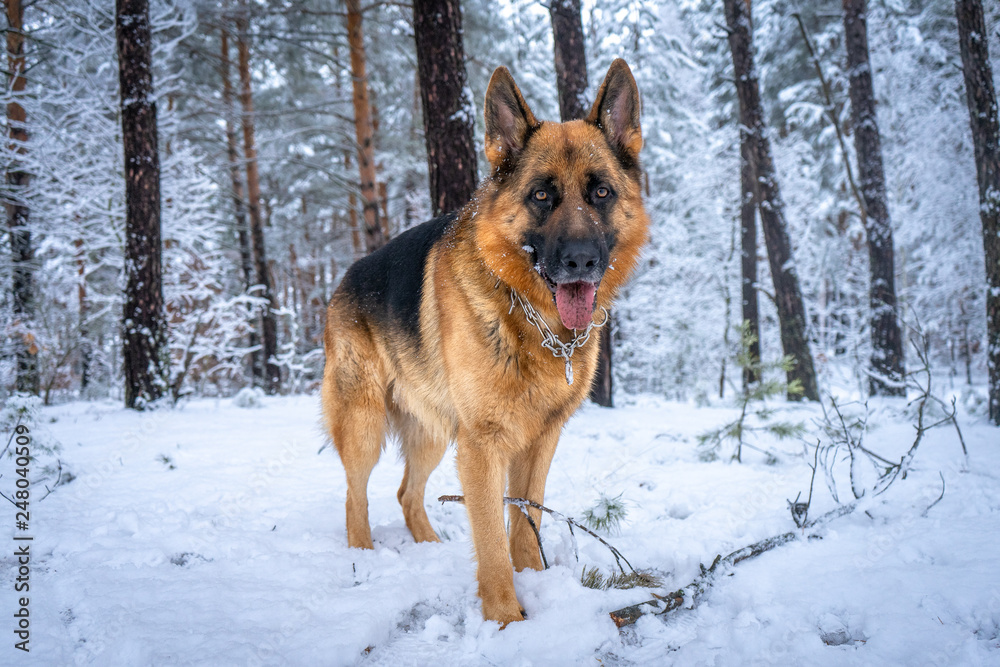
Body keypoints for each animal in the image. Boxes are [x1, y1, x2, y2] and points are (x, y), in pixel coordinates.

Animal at [320, 58, 648, 628]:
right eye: (541, 195)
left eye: (602, 193)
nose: (581, 261)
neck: (531, 319)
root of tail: (346, 277)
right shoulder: (482, 445)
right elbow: (491, 538)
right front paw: (506, 619)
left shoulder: (540, 439)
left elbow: (525, 520)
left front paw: (535, 583)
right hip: (364, 424)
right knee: (354, 495)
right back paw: (363, 554)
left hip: (433, 432)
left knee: (407, 492)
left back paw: (428, 545)